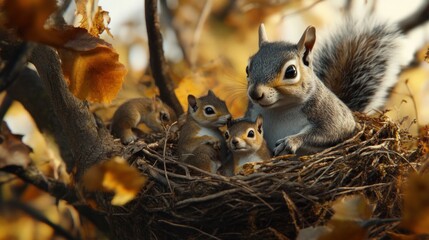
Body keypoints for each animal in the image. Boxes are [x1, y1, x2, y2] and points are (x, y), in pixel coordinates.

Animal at [244, 17, 402, 155]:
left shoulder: (332, 114)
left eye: (291, 72)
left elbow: (332, 130)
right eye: (247, 68)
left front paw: (290, 141)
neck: (280, 110)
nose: (255, 93)